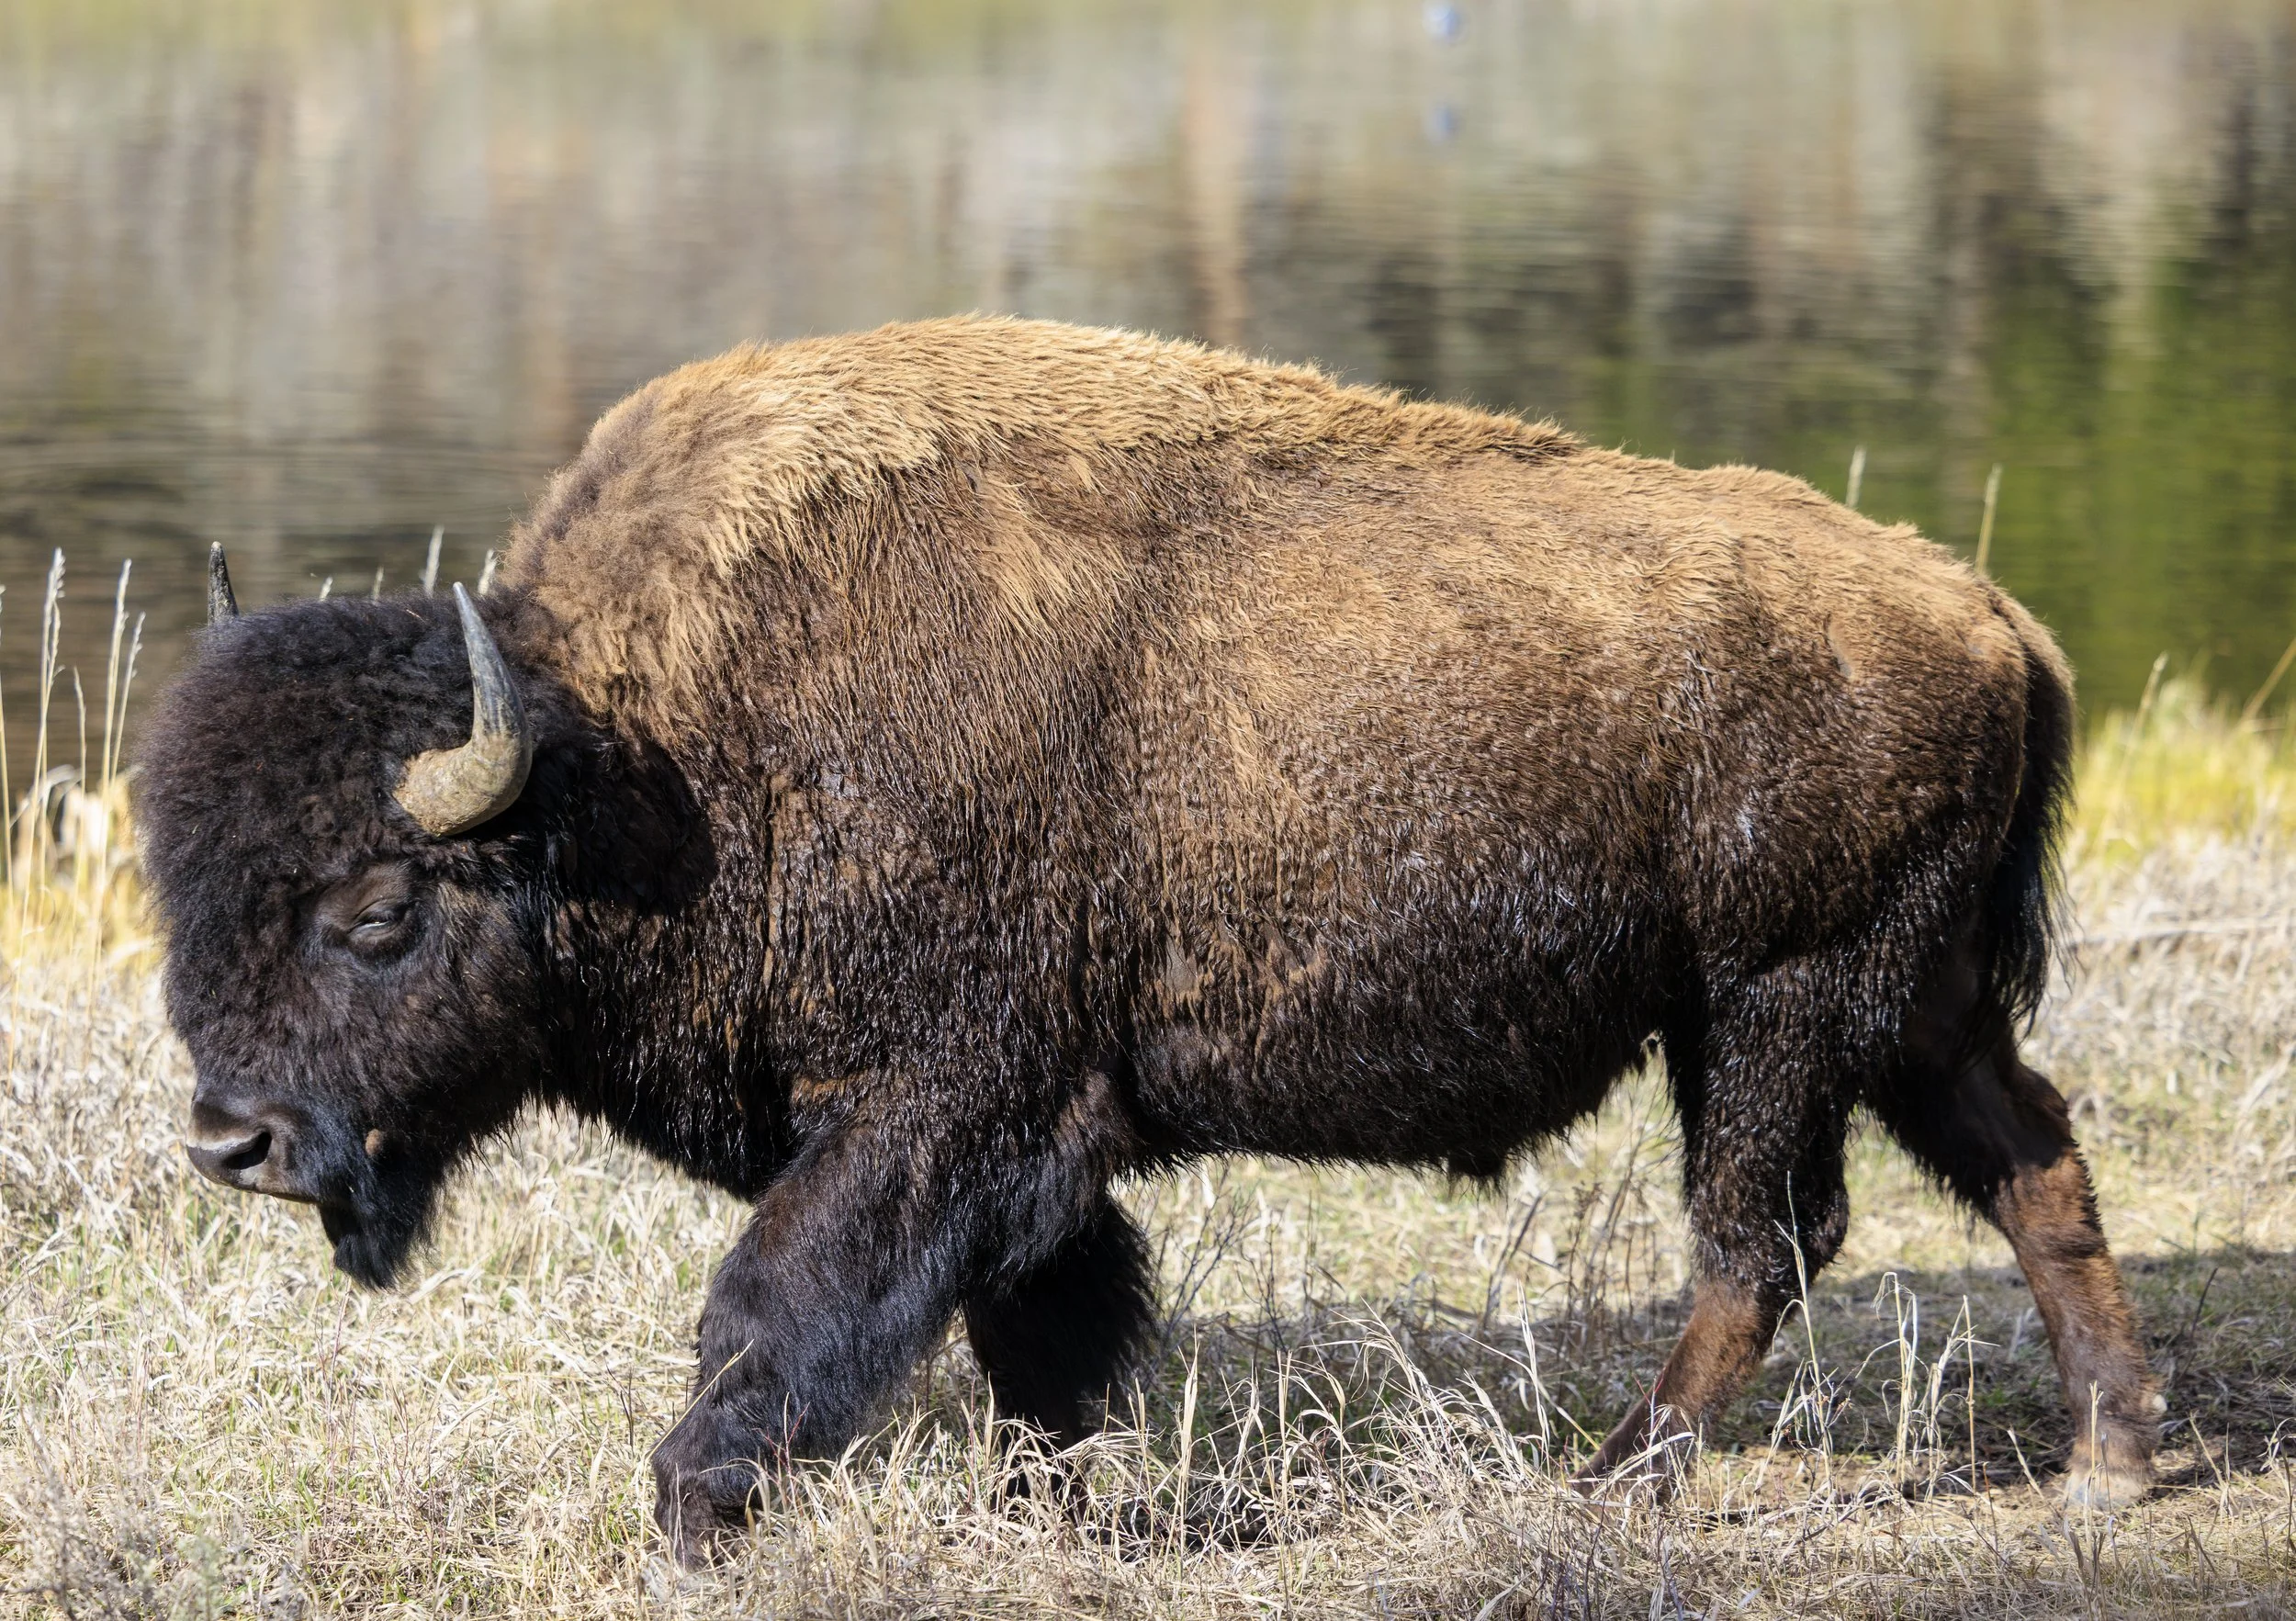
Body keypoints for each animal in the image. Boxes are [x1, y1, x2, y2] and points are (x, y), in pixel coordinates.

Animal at [139, 317, 2161, 1555]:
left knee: (1768, 1240)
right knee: (2031, 1166)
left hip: (1772, 1011)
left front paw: (698, 1505)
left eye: (377, 913)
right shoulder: (1025, 1140)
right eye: (183, 885)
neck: (652, 755)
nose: (232, 1140)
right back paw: (2107, 1467)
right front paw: (1061, 1499)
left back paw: (1615, 1484)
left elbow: (784, 1298)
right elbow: (1048, 1318)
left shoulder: (932, 1104)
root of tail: (1985, 614)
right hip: (1905, 1012)